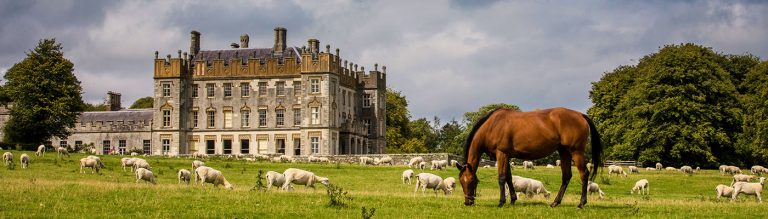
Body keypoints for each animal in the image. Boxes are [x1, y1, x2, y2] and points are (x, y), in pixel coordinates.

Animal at [456, 108, 600, 209]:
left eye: (471, 181)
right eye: (461, 182)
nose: (468, 201)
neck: (493, 125)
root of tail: (580, 115)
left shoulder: (501, 154)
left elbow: (502, 178)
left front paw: (501, 202)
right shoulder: (507, 156)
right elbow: (509, 178)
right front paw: (513, 199)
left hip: (576, 152)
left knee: (584, 174)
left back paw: (581, 203)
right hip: (564, 152)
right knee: (566, 176)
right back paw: (555, 202)